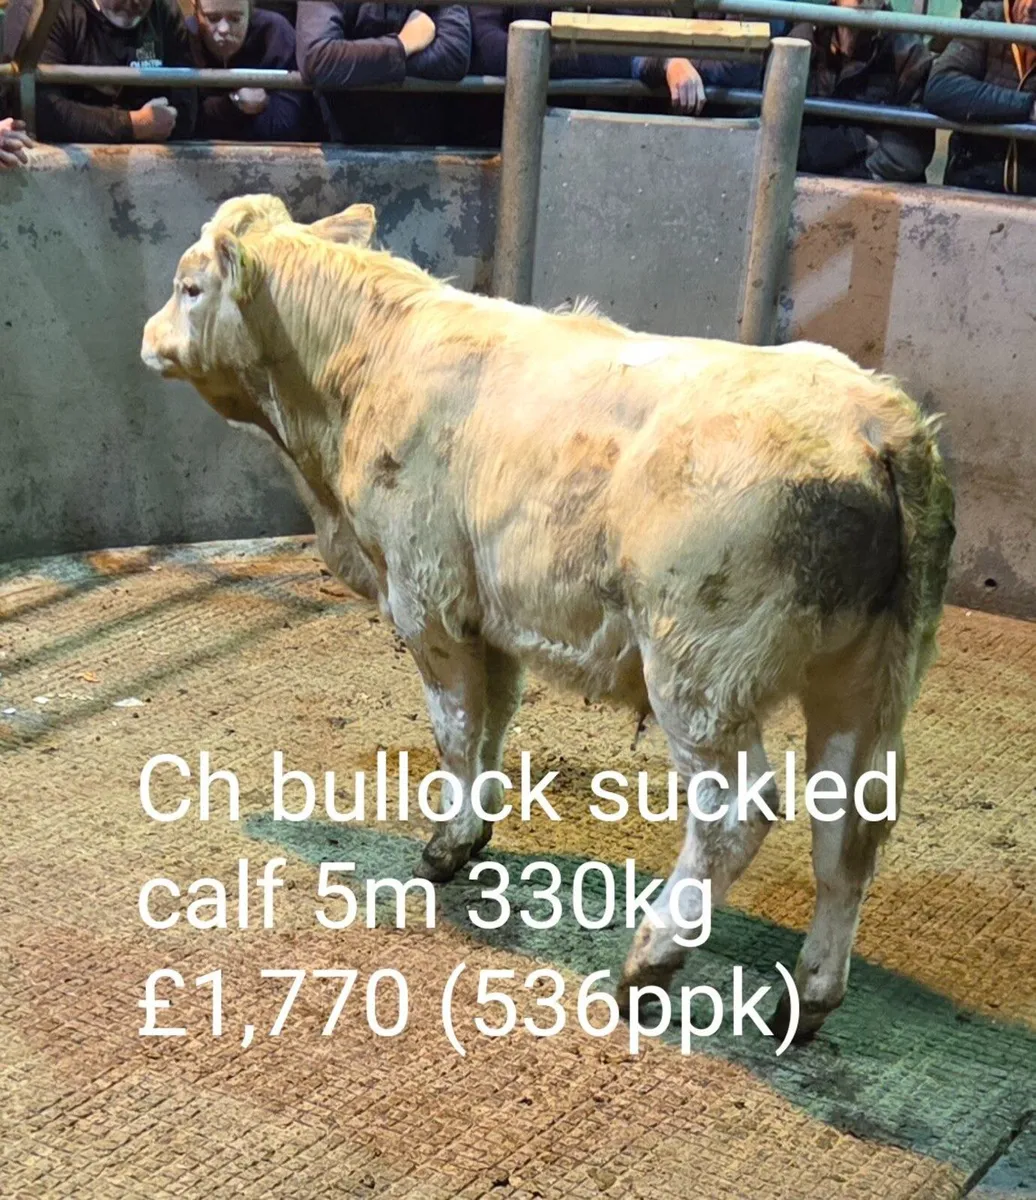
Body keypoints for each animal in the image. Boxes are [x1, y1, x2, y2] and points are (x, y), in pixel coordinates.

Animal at [141, 194, 955, 1039]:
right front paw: (474, 829)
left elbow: (455, 727)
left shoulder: (427, 596)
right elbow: (494, 717)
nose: (146, 338)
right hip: (867, 677)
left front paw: (447, 844)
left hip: (702, 670)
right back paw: (806, 996)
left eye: (190, 287)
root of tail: (878, 423)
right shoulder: (490, 612)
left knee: (735, 813)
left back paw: (651, 960)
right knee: (853, 819)